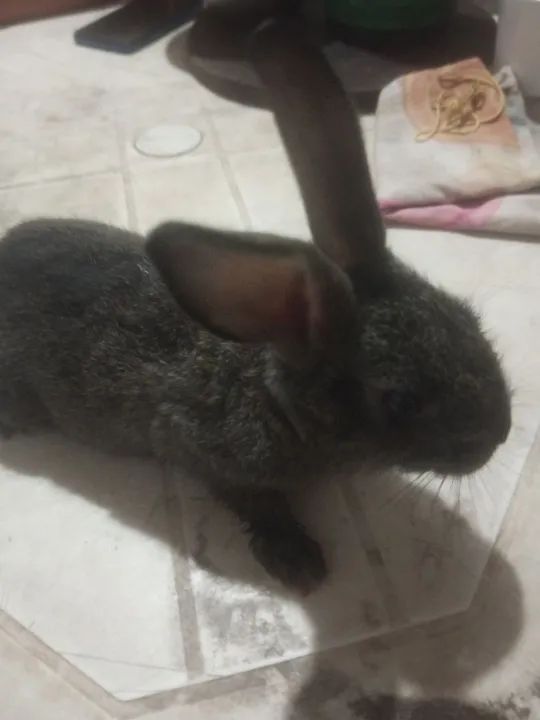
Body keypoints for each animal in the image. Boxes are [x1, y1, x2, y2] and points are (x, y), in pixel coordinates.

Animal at [0, 21, 511, 595]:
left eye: (468, 317)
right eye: (398, 401)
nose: (499, 435)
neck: (274, 398)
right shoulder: (200, 450)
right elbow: (254, 500)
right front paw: (298, 561)